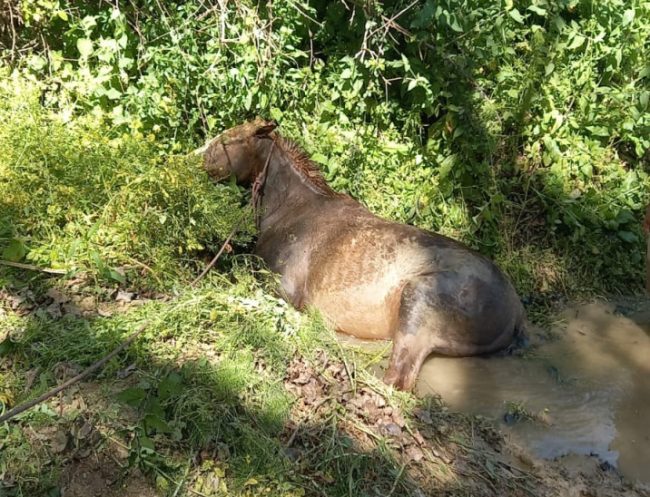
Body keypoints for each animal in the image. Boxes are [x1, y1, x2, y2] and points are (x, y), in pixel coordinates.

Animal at [198, 118, 526, 390]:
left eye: (226, 140)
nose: (193, 161)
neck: (281, 211)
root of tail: (516, 310)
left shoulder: (285, 288)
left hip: (417, 306)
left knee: (398, 380)